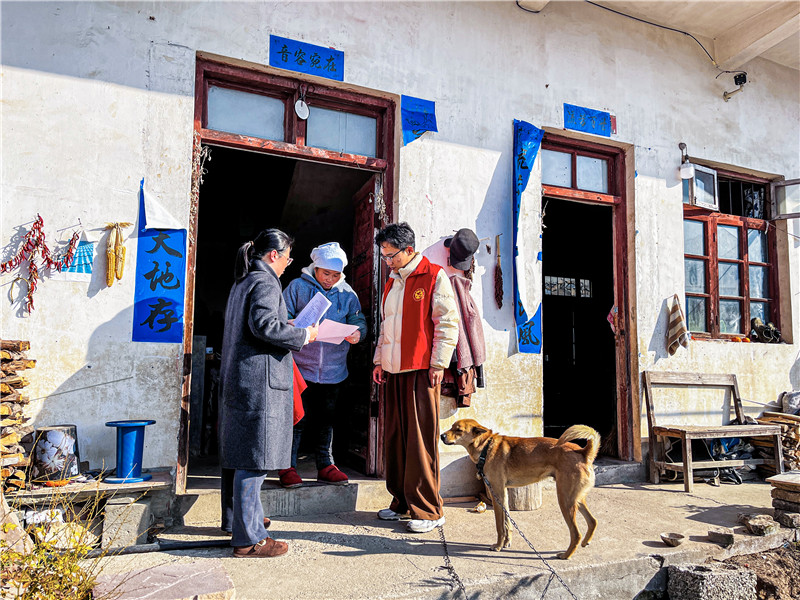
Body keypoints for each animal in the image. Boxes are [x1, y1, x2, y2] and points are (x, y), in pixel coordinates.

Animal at [440, 419, 600, 559]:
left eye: (458, 430)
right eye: (452, 427)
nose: (441, 436)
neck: (486, 447)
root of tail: (585, 452)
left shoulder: (496, 493)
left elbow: (500, 526)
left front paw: (498, 546)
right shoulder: (503, 494)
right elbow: (507, 523)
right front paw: (507, 542)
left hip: (565, 499)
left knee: (576, 533)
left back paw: (566, 555)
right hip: (576, 498)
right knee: (593, 521)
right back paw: (585, 542)